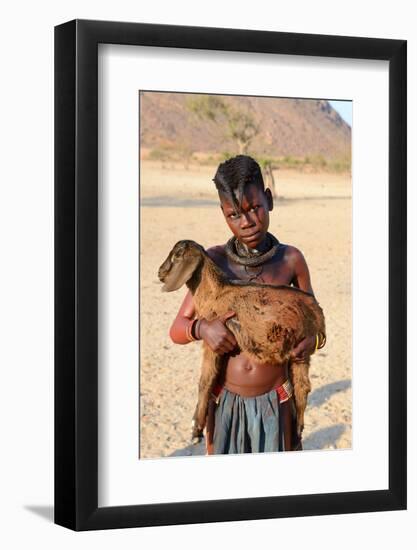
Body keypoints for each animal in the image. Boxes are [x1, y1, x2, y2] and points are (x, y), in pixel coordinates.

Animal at [158, 242, 324, 448]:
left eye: (177, 255)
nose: (160, 272)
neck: (215, 291)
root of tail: (318, 312)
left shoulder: (211, 344)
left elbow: (205, 381)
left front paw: (196, 428)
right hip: (300, 355)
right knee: (303, 386)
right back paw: (297, 432)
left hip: (302, 347)